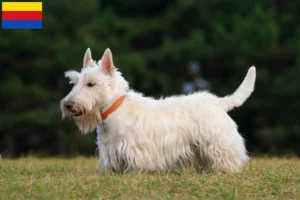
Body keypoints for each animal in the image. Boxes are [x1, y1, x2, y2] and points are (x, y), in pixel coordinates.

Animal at [60, 48, 255, 173]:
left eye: (91, 84)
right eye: (75, 82)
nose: (68, 105)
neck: (113, 109)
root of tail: (218, 102)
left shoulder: (135, 149)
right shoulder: (110, 150)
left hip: (217, 141)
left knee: (225, 155)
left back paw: (224, 170)